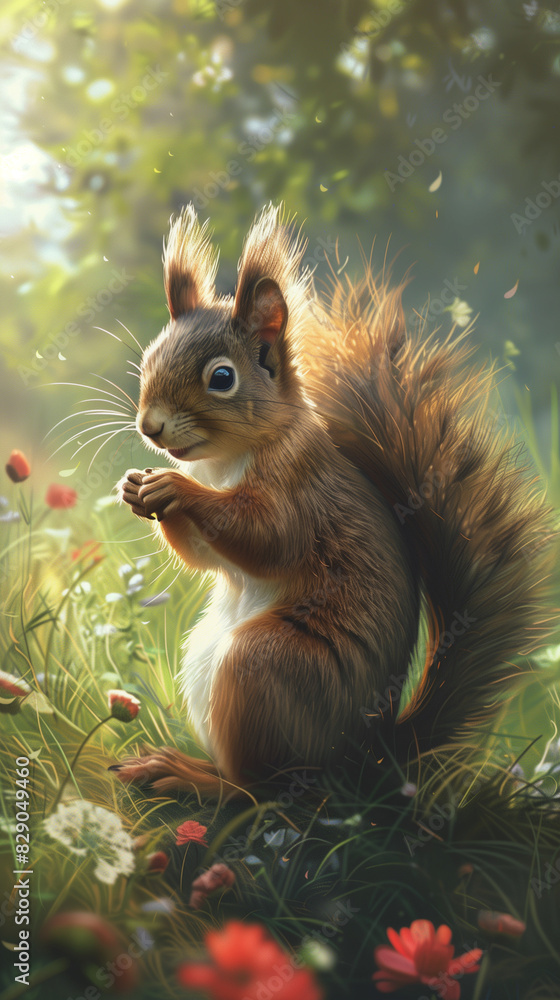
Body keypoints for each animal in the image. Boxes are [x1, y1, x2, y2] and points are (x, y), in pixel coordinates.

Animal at [115, 203, 554, 798]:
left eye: (222, 377)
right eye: (148, 359)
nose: (150, 426)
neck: (224, 462)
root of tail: (364, 758)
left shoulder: (299, 485)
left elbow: (266, 537)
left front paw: (174, 488)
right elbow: (205, 557)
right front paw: (137, 490)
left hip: (267, 667)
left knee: (260, 790)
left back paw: (190, 776)